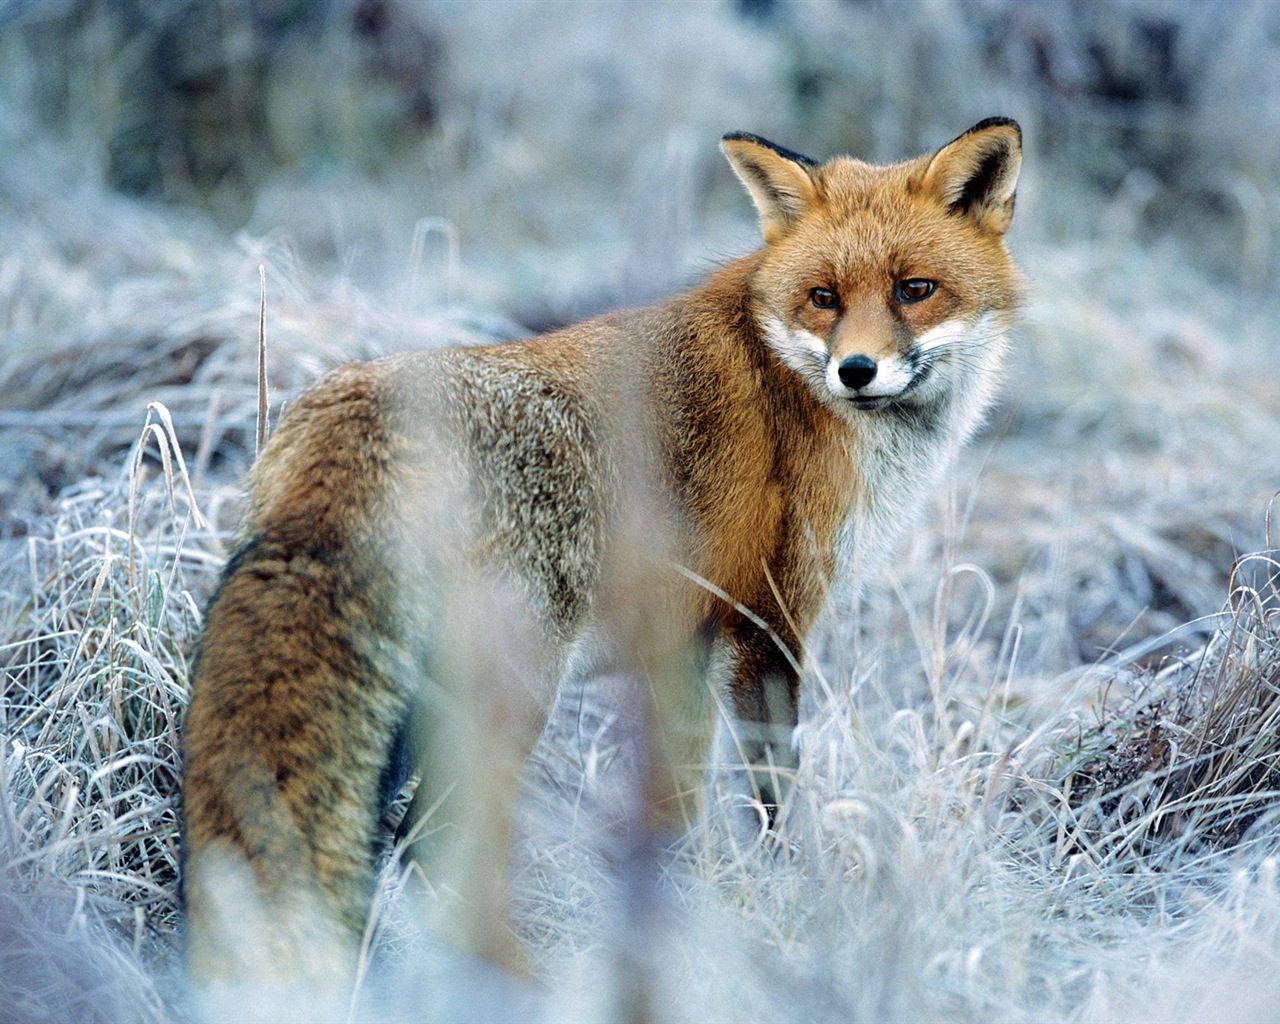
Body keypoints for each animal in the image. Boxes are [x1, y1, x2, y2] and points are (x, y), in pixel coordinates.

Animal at [180, 115, 1024, 1003]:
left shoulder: (684, 645)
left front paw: (675, 926)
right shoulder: (768, 623)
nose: (856, 371)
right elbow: (771, 798)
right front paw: (785, 905)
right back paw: (522, 985)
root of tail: (349, 412)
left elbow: (676, 808)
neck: (790, 383)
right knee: (432, 843)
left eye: (914, 289)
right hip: (511, 692)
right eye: (823, 297)